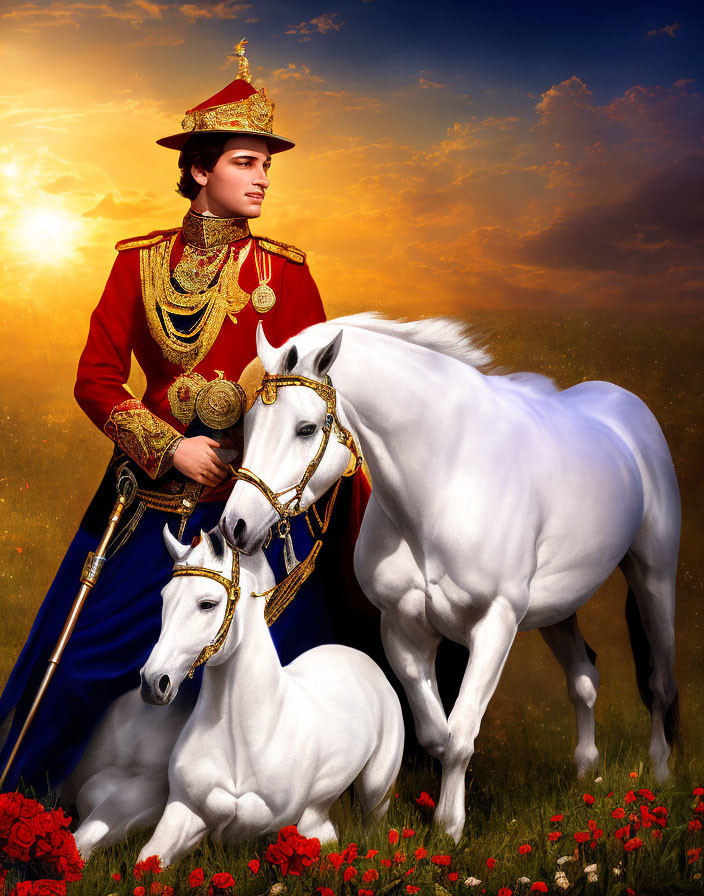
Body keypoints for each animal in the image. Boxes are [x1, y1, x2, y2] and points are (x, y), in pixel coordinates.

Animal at [133, 524, 404, 868]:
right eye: (164, 598)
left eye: (207, 604)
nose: (153, 683)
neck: (243, 737)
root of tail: (359, 656)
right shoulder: (183, 809)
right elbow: (149, 859)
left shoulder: (275, 819)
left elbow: (257, 824)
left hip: (376, 789)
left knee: (368, 827)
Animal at [221, 316, 680, 848]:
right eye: (250, 425)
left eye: (306, 429)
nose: (235, 525)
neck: (445, 482)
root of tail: (629, 408)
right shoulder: (403, 630)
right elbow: (435, 734)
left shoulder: (495, 624)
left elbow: (460, 734)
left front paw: (449, 830)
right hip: (558, 607)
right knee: (584, 680)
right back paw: (587, 772)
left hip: (653, 576)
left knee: (659, 680)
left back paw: (660, 774)